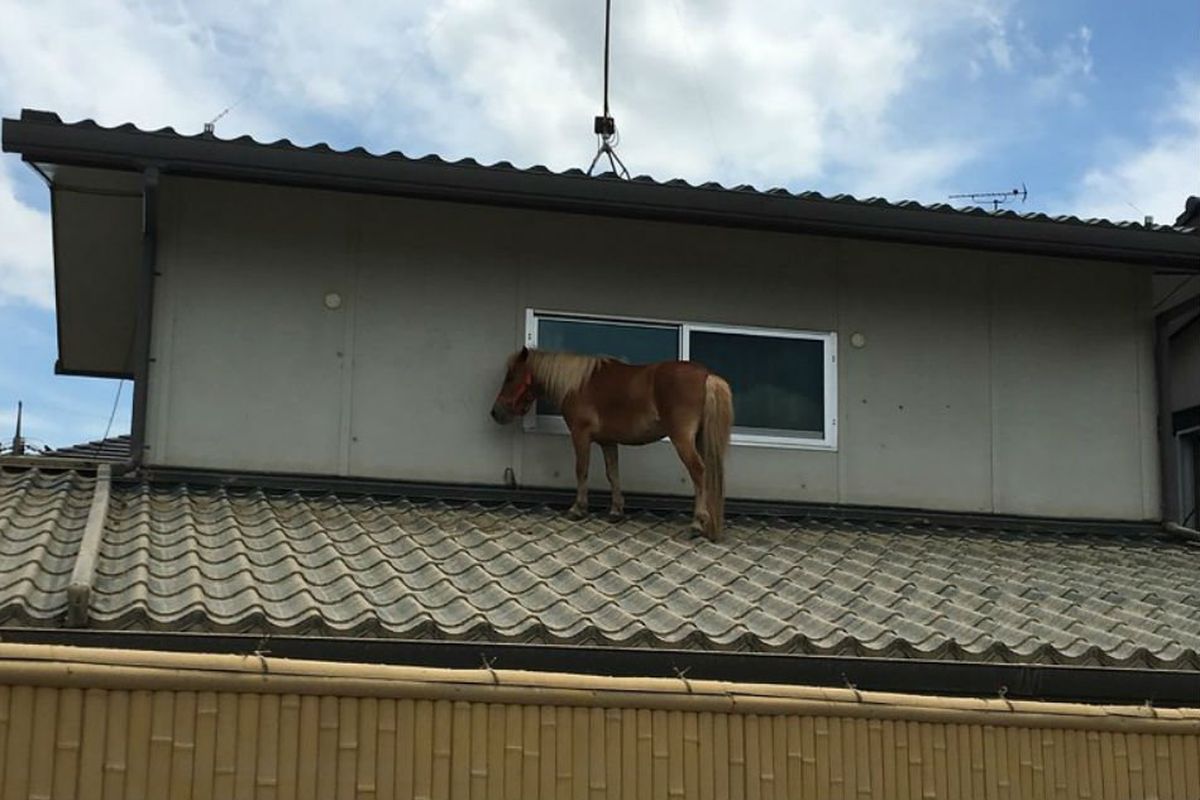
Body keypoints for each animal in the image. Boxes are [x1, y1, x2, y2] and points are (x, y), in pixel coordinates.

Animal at [487, 347, 729, 542]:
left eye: (511, 376)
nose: (496, 412)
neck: (578, 384)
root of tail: (707, 376)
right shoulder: (608, 442)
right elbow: (612, 473)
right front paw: (616, 511)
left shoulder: (581, 435)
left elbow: (581, 470)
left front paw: (578, 508)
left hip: (682, 440)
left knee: (698, 472)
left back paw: (697, 523)